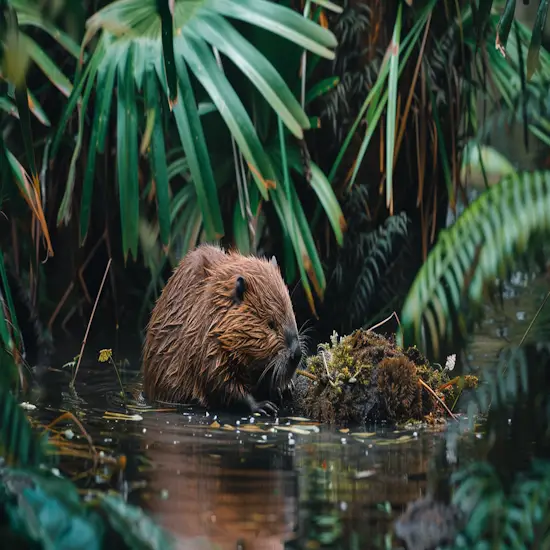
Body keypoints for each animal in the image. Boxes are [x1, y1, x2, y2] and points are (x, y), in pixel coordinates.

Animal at [142, 244, 304, 416]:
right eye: (271, 324)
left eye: (291, 313)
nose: (296, 354)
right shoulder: (203, 338)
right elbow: (217, 379)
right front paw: (263, 406)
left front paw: (286, 386)